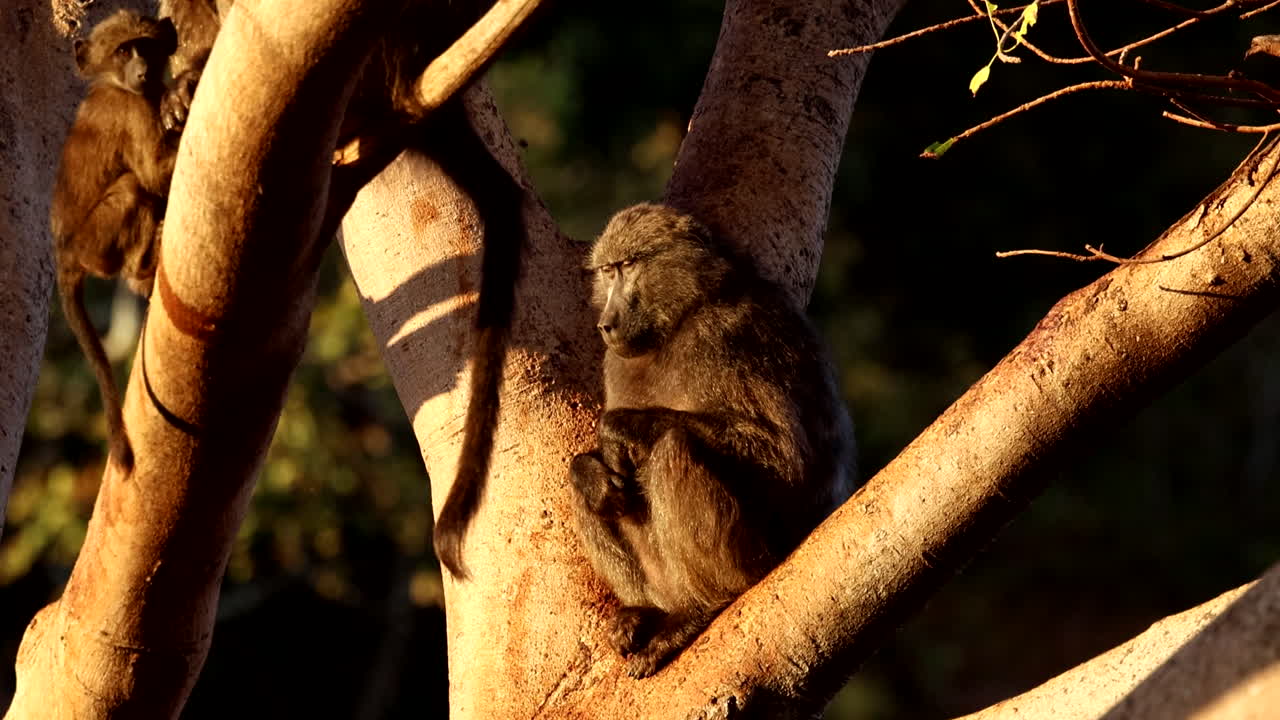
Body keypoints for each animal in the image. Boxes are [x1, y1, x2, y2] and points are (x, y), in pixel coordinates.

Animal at [49, 10, 184, 469]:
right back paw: (143, 270)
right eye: (124, 50)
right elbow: (153, 174)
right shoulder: (131, 109)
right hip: (95, 245)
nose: (142, 71)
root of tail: (64, 254)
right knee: (131, 189)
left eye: (146, 46)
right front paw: (184, 94)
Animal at [569, 204, 856, 678]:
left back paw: (702, 609)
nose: (605, 324)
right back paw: (644, 609)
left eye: (629, 266)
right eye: (608, 272)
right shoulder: (616, 360)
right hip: (663, 580)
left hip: (755, 558)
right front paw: (594, 467)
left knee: (672, 448)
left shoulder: (728, 334)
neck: (682, 316)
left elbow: (786, 457)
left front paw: (618, 428)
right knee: (586, 489)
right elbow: (594, 474)